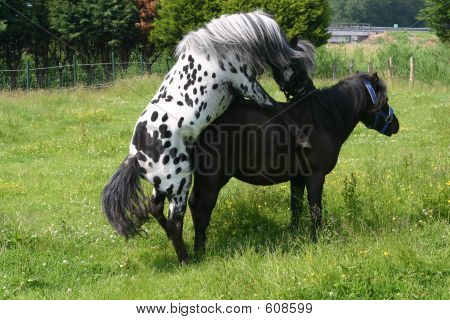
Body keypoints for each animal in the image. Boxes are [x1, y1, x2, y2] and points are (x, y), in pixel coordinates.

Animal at [102, 11, 314, 264]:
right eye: (298, 66)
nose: (310, 91)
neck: (223, 45)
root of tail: (136, 156)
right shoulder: (248, 85)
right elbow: (277, 108)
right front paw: (302, 138)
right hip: (179, 186)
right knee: (175, 222)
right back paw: (186, 260)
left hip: (162, 187)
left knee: (156, 210)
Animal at [186, 71, 400, 254]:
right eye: (385, 100)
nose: (396, 125)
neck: (323, 118)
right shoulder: (315, 177)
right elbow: (315, 210)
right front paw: (317, 239)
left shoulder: (297, 178)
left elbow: (296, 208)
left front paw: (294, 237)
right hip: (213, 180)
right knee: (202, 210)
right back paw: (199, 253)